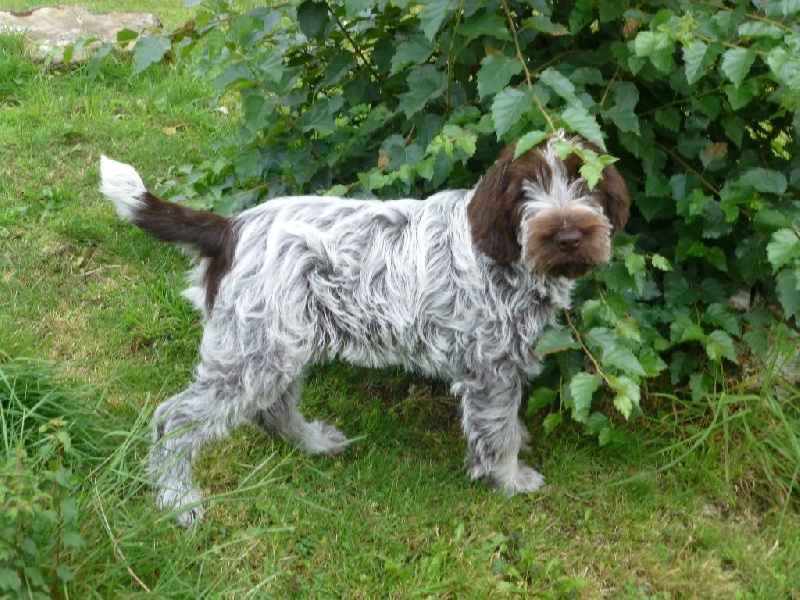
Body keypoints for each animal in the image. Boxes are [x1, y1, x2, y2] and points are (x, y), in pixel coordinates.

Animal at [100, 131, 629, 526]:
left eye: (584, 181)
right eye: (524, 192)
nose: (567, 235)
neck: (507, 257)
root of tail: (230, 229)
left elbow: (505, 422)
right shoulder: (489, 366)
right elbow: (495, 431)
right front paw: (510, 478)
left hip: (279, 342)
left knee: (273, 409)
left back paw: (313, 443)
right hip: (253, 351)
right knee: (176, 420)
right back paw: (177, 497)